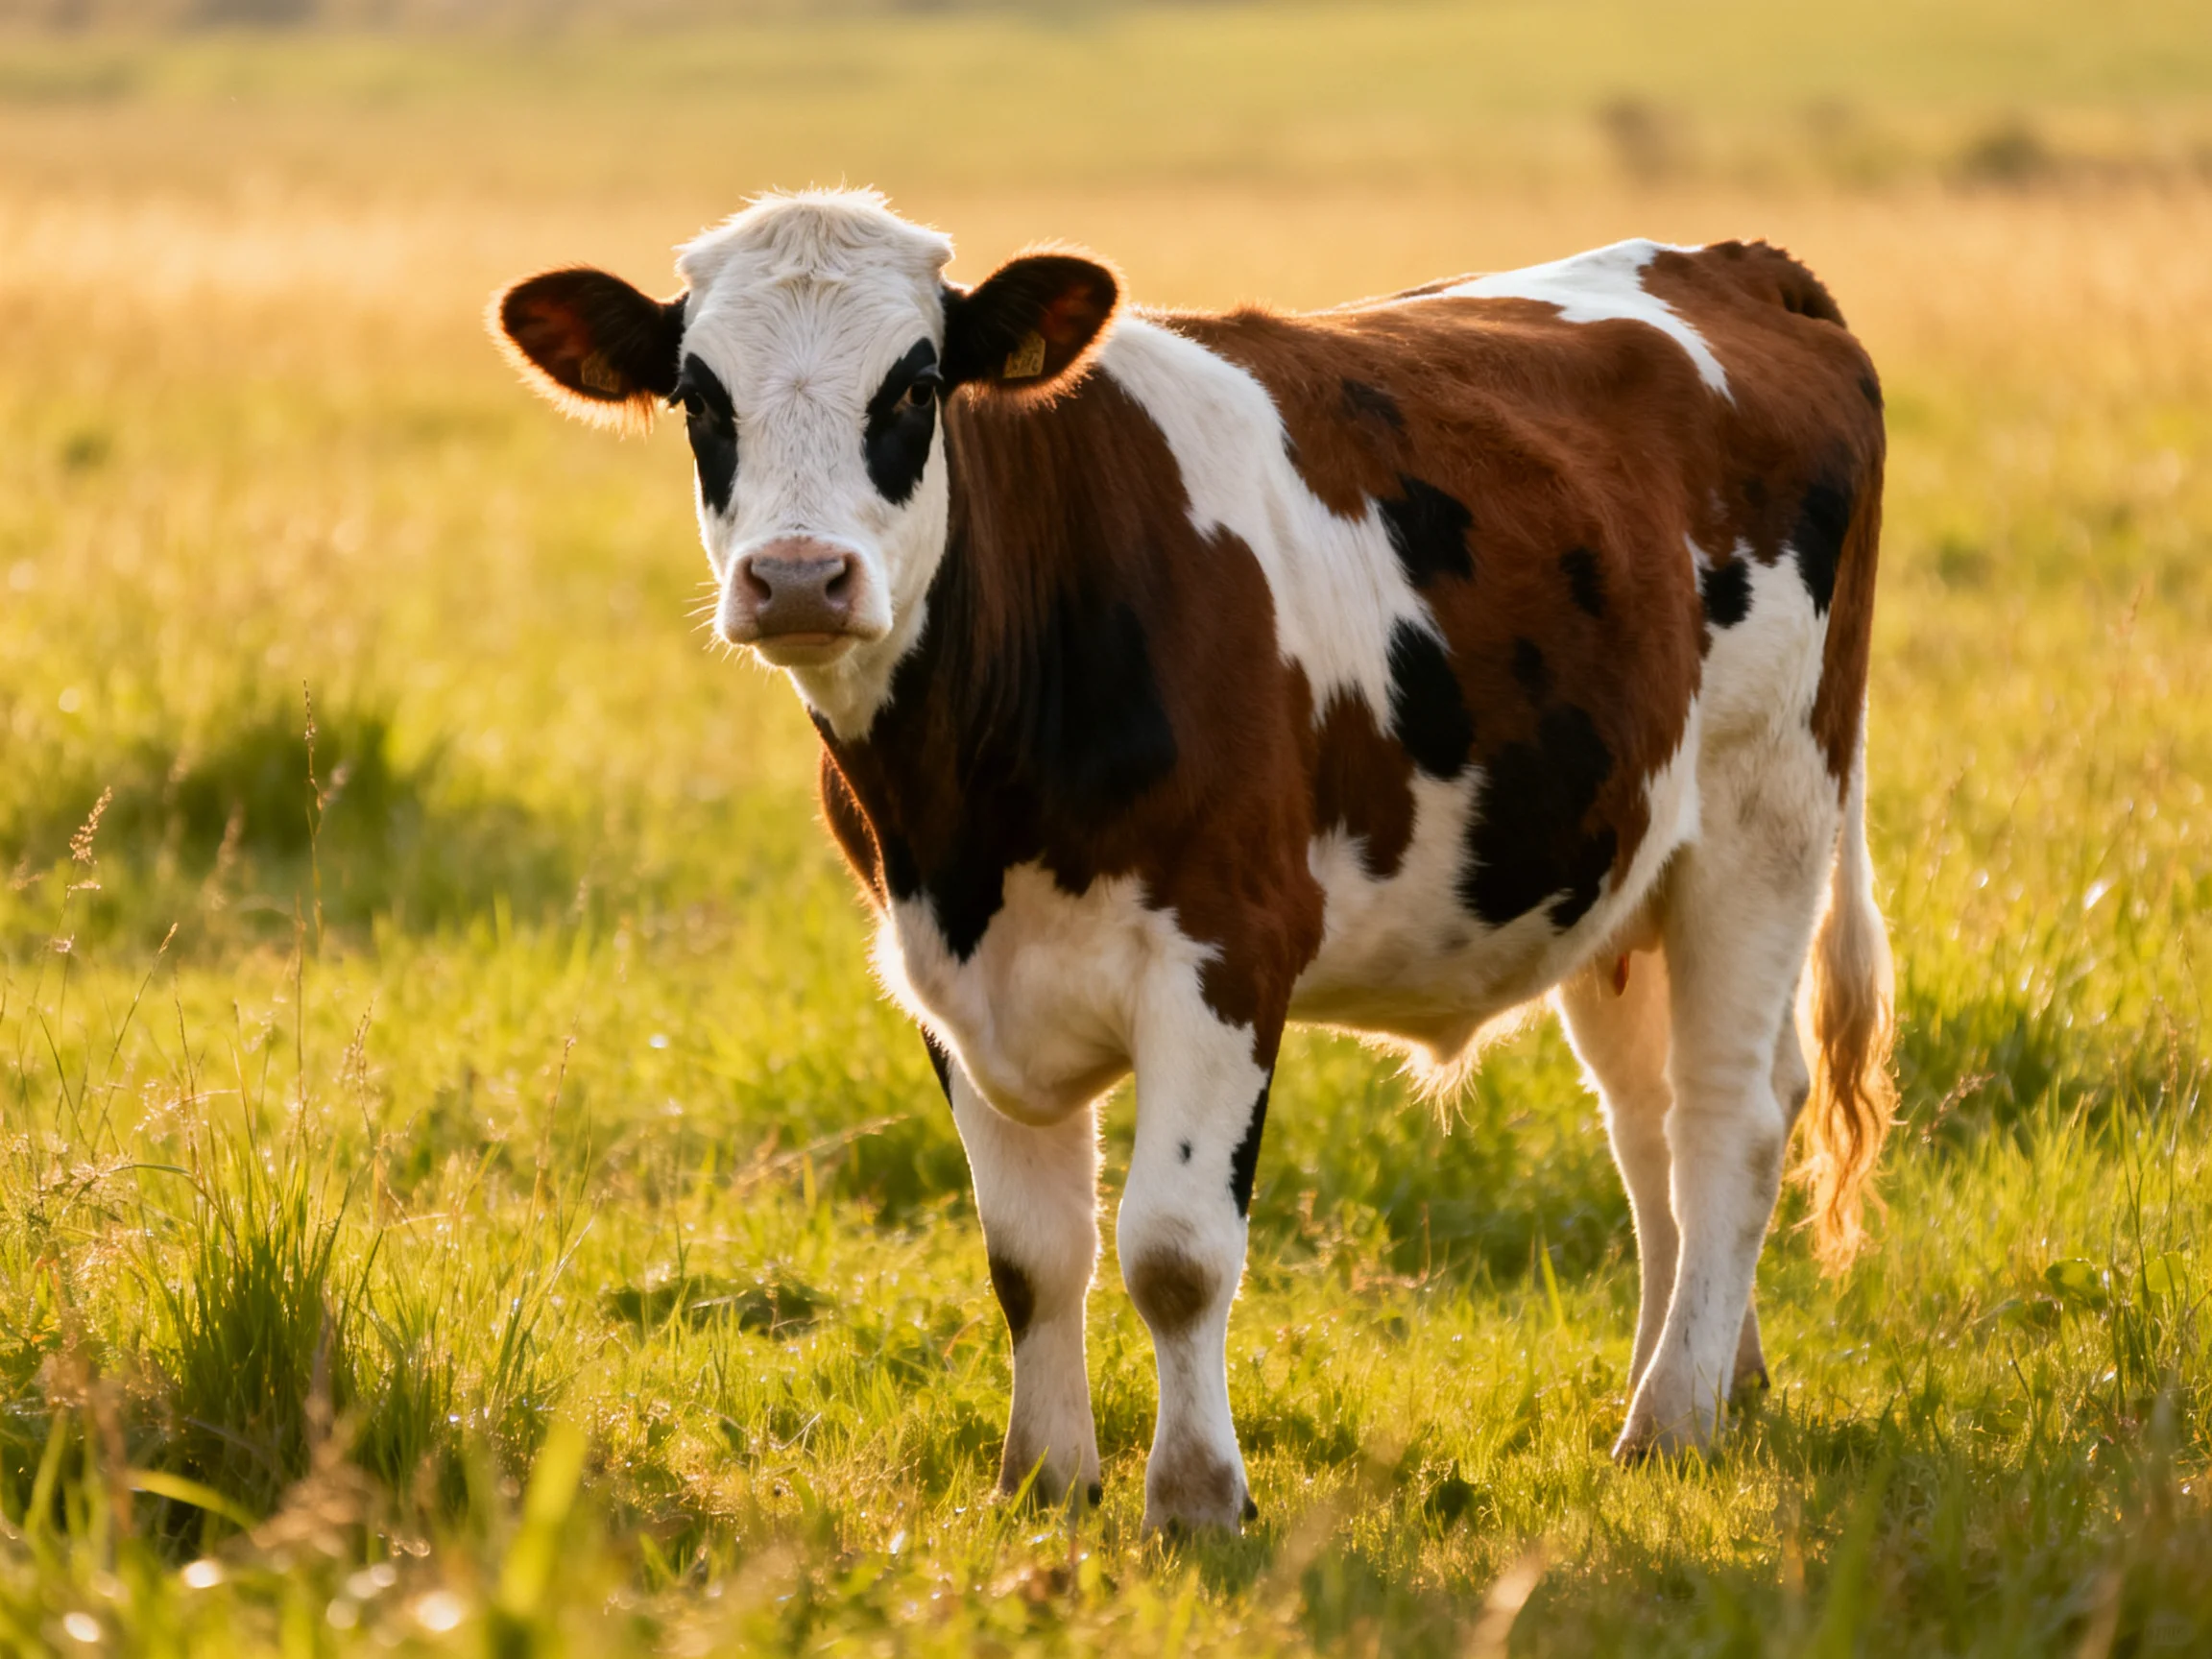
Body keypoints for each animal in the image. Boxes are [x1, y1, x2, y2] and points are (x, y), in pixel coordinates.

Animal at [492, 189, 1896, 1534]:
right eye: (699, 397)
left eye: (915, 386)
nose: (796, 579)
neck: (970, 809)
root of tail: (1729, 260)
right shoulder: (939, 969)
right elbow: (1028, 1255)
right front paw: (1043, 1482)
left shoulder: (1228, 947)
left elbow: (1174, 1252)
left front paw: (1196, 1499)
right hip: (1619, 870)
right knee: (1650, 1124)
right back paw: (1716, 1376)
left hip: (1767, 817)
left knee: (1731, 1117)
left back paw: (1670, 1421)